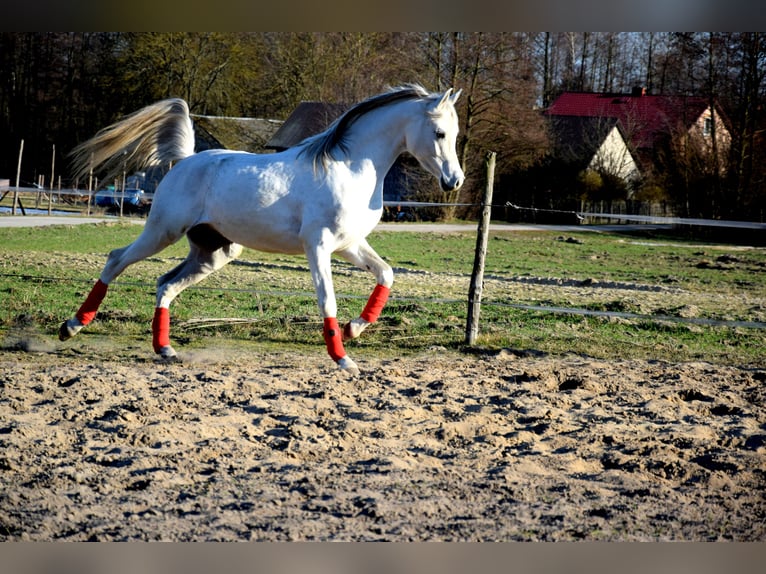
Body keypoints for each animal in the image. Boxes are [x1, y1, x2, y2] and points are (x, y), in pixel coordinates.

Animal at [58, 84, 464, 375]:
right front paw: (343, 358)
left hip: (214, 252)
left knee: (165, 284)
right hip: (163, 230)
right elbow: (327, 300)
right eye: (440, 133)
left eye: (455, 133)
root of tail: (187, 160)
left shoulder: (350, 245)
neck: (351, 168)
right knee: (116, 261)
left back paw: (165, 349)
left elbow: (386, 274)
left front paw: (354, 329)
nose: (454, 181)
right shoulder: (318, 246)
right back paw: (72, 326)